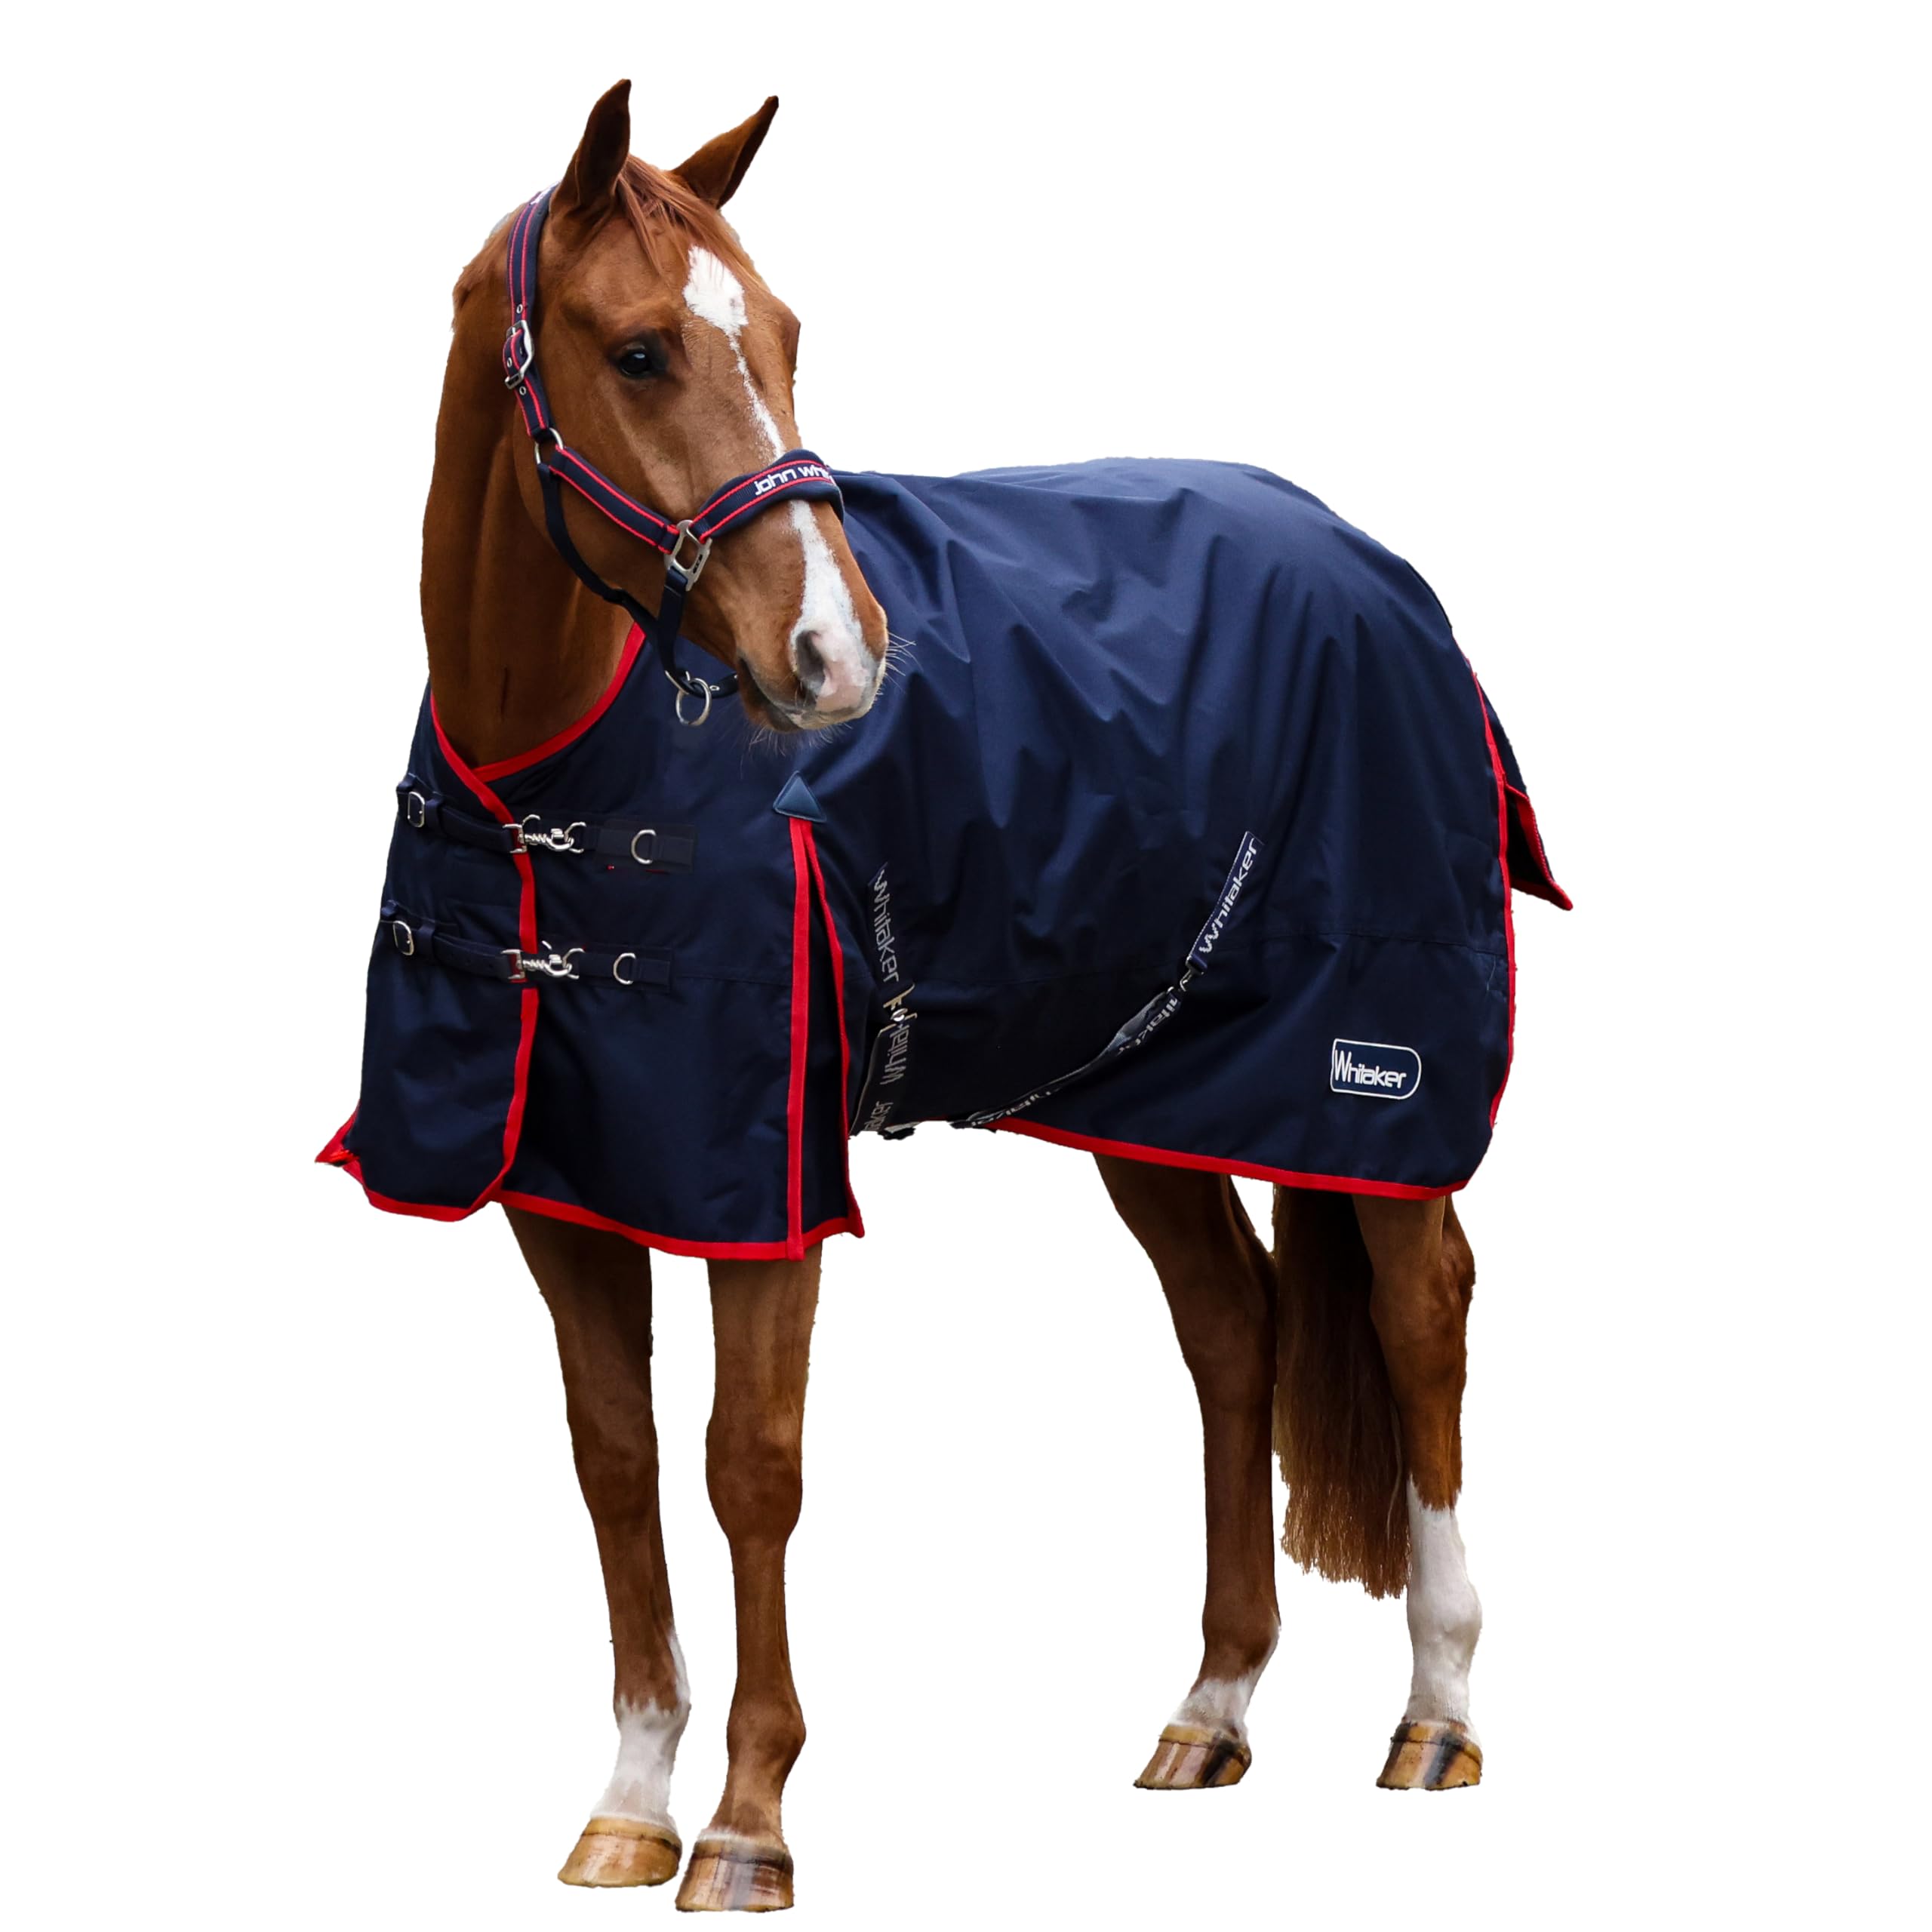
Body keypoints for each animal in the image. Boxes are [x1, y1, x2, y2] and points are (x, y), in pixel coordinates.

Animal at [323, 80, 1567, 1911]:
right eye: (640, 351)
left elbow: (747, 1466)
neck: (560, 765)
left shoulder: (759, 1187)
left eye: (781, 333)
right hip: (1151, 1089)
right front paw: (628, 1802)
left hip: (1369, 1085)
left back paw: (1436, 1714)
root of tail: (1374, 567)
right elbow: (616, 1462)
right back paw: (1209, 1710)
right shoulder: (564, 1186)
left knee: (1423, 1322)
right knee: (1235, 1330)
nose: (841, 661)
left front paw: (748, 1822)